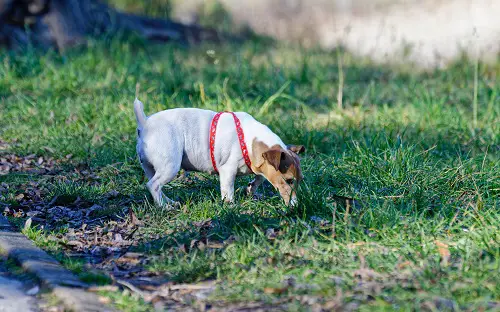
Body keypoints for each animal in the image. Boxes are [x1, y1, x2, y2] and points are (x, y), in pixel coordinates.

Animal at [134, 98, 304, 207]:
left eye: (299, 180)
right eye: (288, 181)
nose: (296, 206)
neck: (249, 141)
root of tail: (145, 123)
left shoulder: (260, 166)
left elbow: (259, 178)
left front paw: (250, 188)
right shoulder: (227, 171)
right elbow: (228, 190)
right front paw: (231, 206)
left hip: (152, 168)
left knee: (155, 185)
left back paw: (168, 202)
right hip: (170, 166)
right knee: (153, 185)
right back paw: (163, 206)